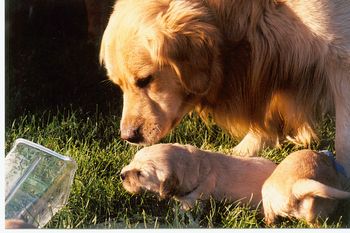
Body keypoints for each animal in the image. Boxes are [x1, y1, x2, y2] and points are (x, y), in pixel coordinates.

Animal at [100, 0, 350, 172]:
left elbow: (344, 139)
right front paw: (242, 154)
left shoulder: (340, 56)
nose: (128, 136)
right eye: (119, 85)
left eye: (145, 80)